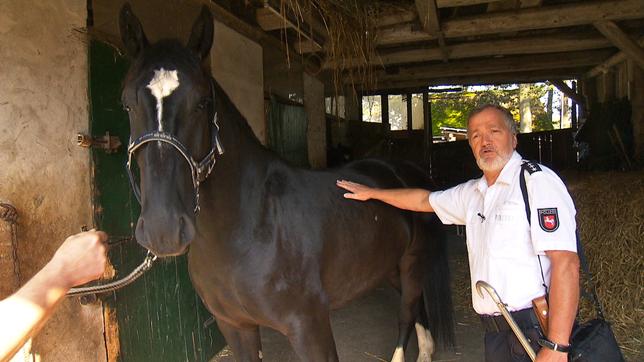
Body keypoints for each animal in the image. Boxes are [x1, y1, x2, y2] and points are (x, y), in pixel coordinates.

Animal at [119, 4, 452, 360]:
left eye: (202, 102)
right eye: (127, 103)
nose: (163, 230)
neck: (249, 227)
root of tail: (408, 172)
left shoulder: (309, 327)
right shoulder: (235, 327)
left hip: (412, 263)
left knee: (406, 314)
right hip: (390, 267)